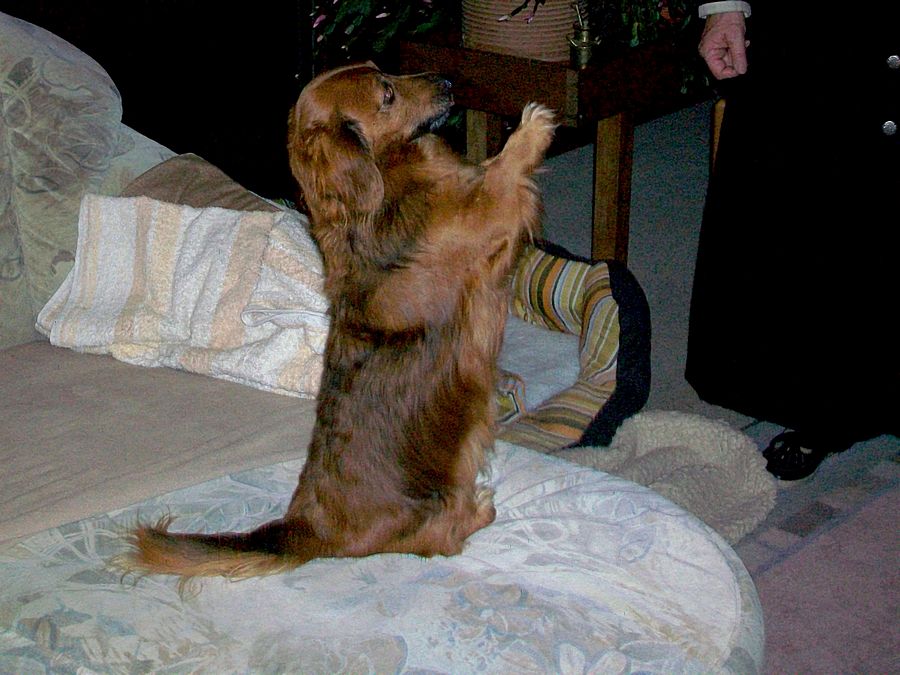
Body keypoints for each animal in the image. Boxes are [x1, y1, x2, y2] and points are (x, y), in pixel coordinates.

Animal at [121, 63, 556, 582]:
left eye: (387, 72)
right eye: (386, 94)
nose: (449, 82)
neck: (381, 191)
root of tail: (307, 528)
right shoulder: (486, 220)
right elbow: (502, 171)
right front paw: (532, 127)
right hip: (438, 506)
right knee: (446, 538)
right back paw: (479, 509)